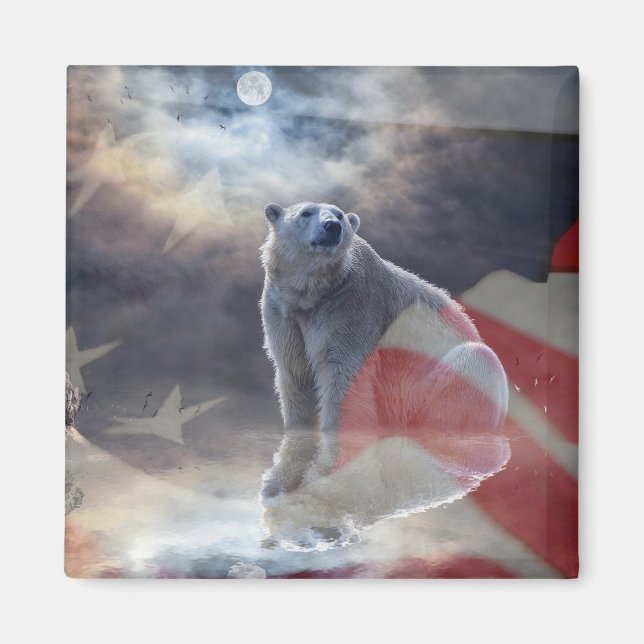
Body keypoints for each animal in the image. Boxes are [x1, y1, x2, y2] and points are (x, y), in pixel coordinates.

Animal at [259, 201, 509, 548]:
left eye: (339, 214)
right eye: (307, 212)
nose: (332, 227)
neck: (314, 293)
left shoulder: (352, 306)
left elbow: (344, 377)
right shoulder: (283, 312)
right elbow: (295, 374)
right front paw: (295, 440)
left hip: (438, 382)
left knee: (473, 365)